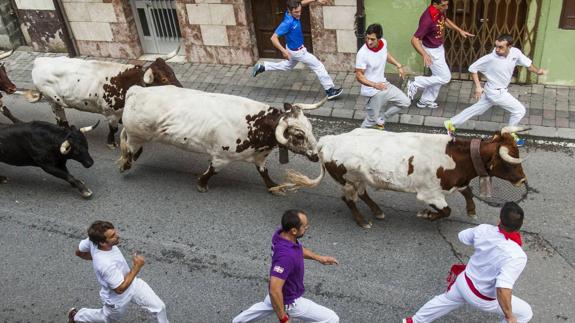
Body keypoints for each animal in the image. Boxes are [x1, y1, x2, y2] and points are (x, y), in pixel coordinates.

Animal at [24, 47, 182, 149]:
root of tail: (39, 61)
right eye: (163, 78)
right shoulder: (111, 113)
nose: (181, 88)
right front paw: (111, 143)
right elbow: (113, 129)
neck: (125, 84)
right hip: (54, 101)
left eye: (172, 71)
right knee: (61, 119)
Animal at [116, 85, 328, 192]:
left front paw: (274, 187)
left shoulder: (259, 157)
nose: (316, 155)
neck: (255, 124)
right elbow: (211, 171)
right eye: (299, 135)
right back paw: (125, 164)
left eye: (310, 128)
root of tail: (137, 89)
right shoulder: (221, 157)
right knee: (129, 148)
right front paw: (201, 184)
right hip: (135, 134)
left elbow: (264, 173)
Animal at [272, 128, 528, 229]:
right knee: (349, 199)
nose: (523, 180)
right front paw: (427, 215)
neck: (454, 157)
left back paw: (377, 211)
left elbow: (467, 191)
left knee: (363, 194)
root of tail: (327, 142)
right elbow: (446, 211)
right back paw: (363, 221)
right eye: (509, 161)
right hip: (348, 179)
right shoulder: (429, 193)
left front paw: (472, 210)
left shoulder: (456, 182)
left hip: (360, 178)